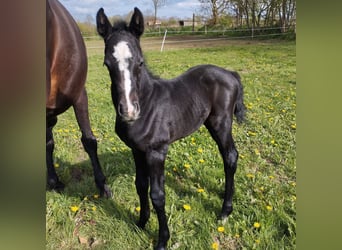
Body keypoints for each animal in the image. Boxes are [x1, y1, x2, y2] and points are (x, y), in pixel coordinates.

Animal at [96, 6, 246, 249]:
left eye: (140, 62)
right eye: (107, 64)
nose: (129, 111)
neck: (147, 103)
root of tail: (230, 73)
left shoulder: (157, 151)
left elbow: (158, 195)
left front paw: (162, 240)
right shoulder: (137, 150)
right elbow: (140, 185)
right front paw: (141, 223)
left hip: (221, 123)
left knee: (230, 156)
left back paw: (225, 211)